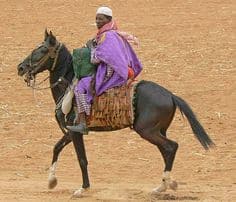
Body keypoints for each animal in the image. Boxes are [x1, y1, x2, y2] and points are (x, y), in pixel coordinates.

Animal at [17, 30, 215, 197]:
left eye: (42, 49)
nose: (21, 67)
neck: (69, 88)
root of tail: (170, 95)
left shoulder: (76, 131)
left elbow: (82, 159)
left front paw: (83, 188)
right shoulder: (71, 131)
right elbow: (57, 147)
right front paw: (51, 180)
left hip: (147, 131)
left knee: (171, 147)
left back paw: (166, 183)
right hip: (158, 131)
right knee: (166, 150)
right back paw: (162, 186)